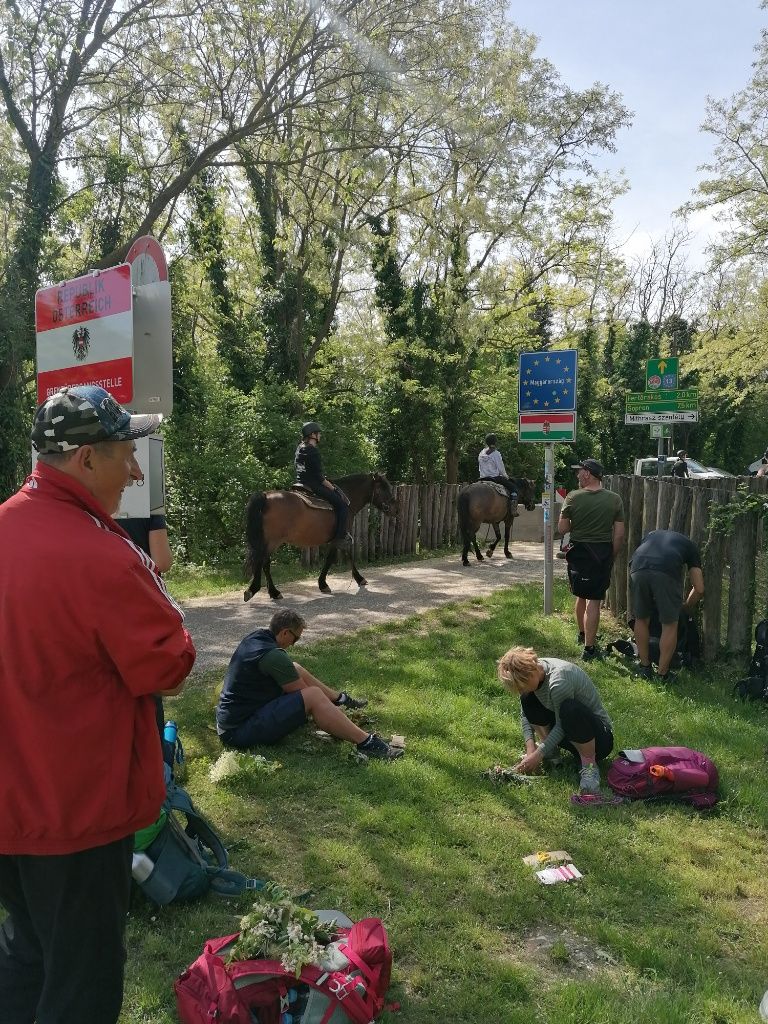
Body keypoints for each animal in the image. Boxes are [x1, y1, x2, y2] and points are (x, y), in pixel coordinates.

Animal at [243, 471, 399, 598]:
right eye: (384, 488)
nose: (395, 510)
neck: (347, 498)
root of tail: (265, 496)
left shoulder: (341, 537)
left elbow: (344, 554)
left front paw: (357, 578)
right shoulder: (340, 536)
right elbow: (332, 558)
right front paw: (325, 583)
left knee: (264, 562)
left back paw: (270, 592)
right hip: (272, 541)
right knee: (264, 561)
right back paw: (262, 590)